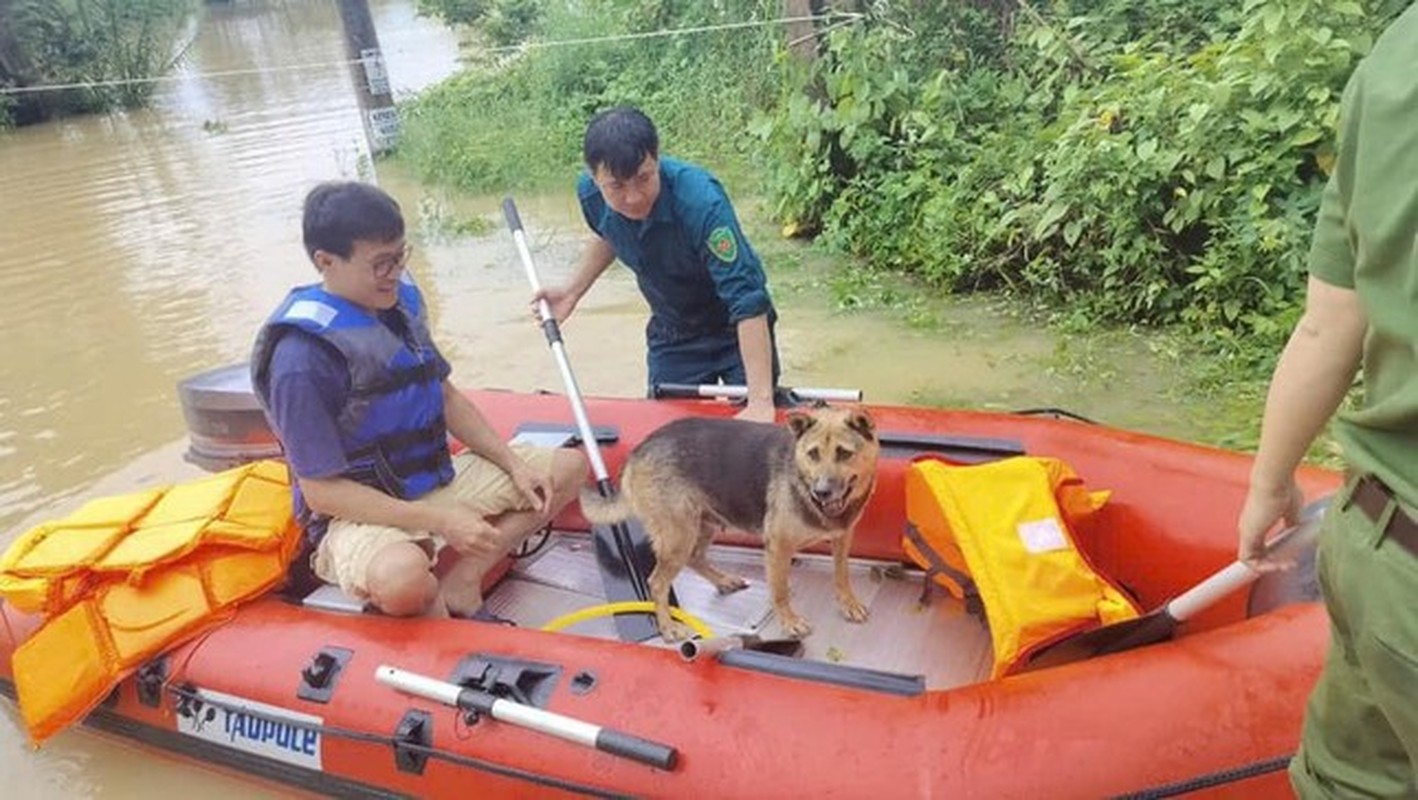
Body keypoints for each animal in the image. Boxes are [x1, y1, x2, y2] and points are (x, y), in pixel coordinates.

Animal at [575, 408, 873, 641]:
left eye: (844, 453)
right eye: (813, 454)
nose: (821, 492)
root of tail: (639, 449)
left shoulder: (842, 538)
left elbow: (842, 575)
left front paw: (848, 603)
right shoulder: (778, 547)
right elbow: (779, 591)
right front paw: (789, 621)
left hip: (703, 524)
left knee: (695, 557)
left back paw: (724, 581)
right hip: (679, 535)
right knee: (657, 583)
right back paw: (668, 628)